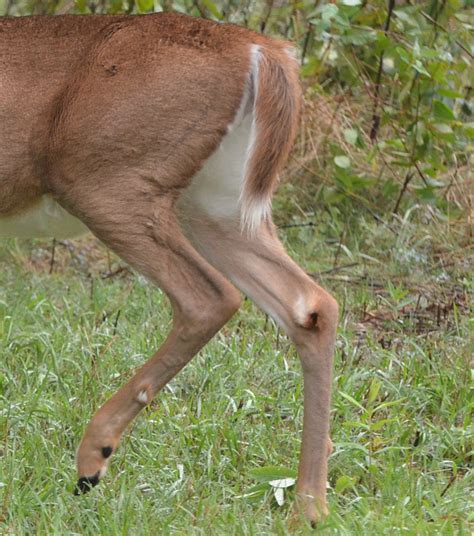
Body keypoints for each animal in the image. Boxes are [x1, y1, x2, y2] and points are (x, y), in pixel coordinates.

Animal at [1, 11, 338, 524]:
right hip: (215, 203)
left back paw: (93, 455)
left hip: (106, 179)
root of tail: (261, 49)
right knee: (311, 304)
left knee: (209, 295)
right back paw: (309, 505)